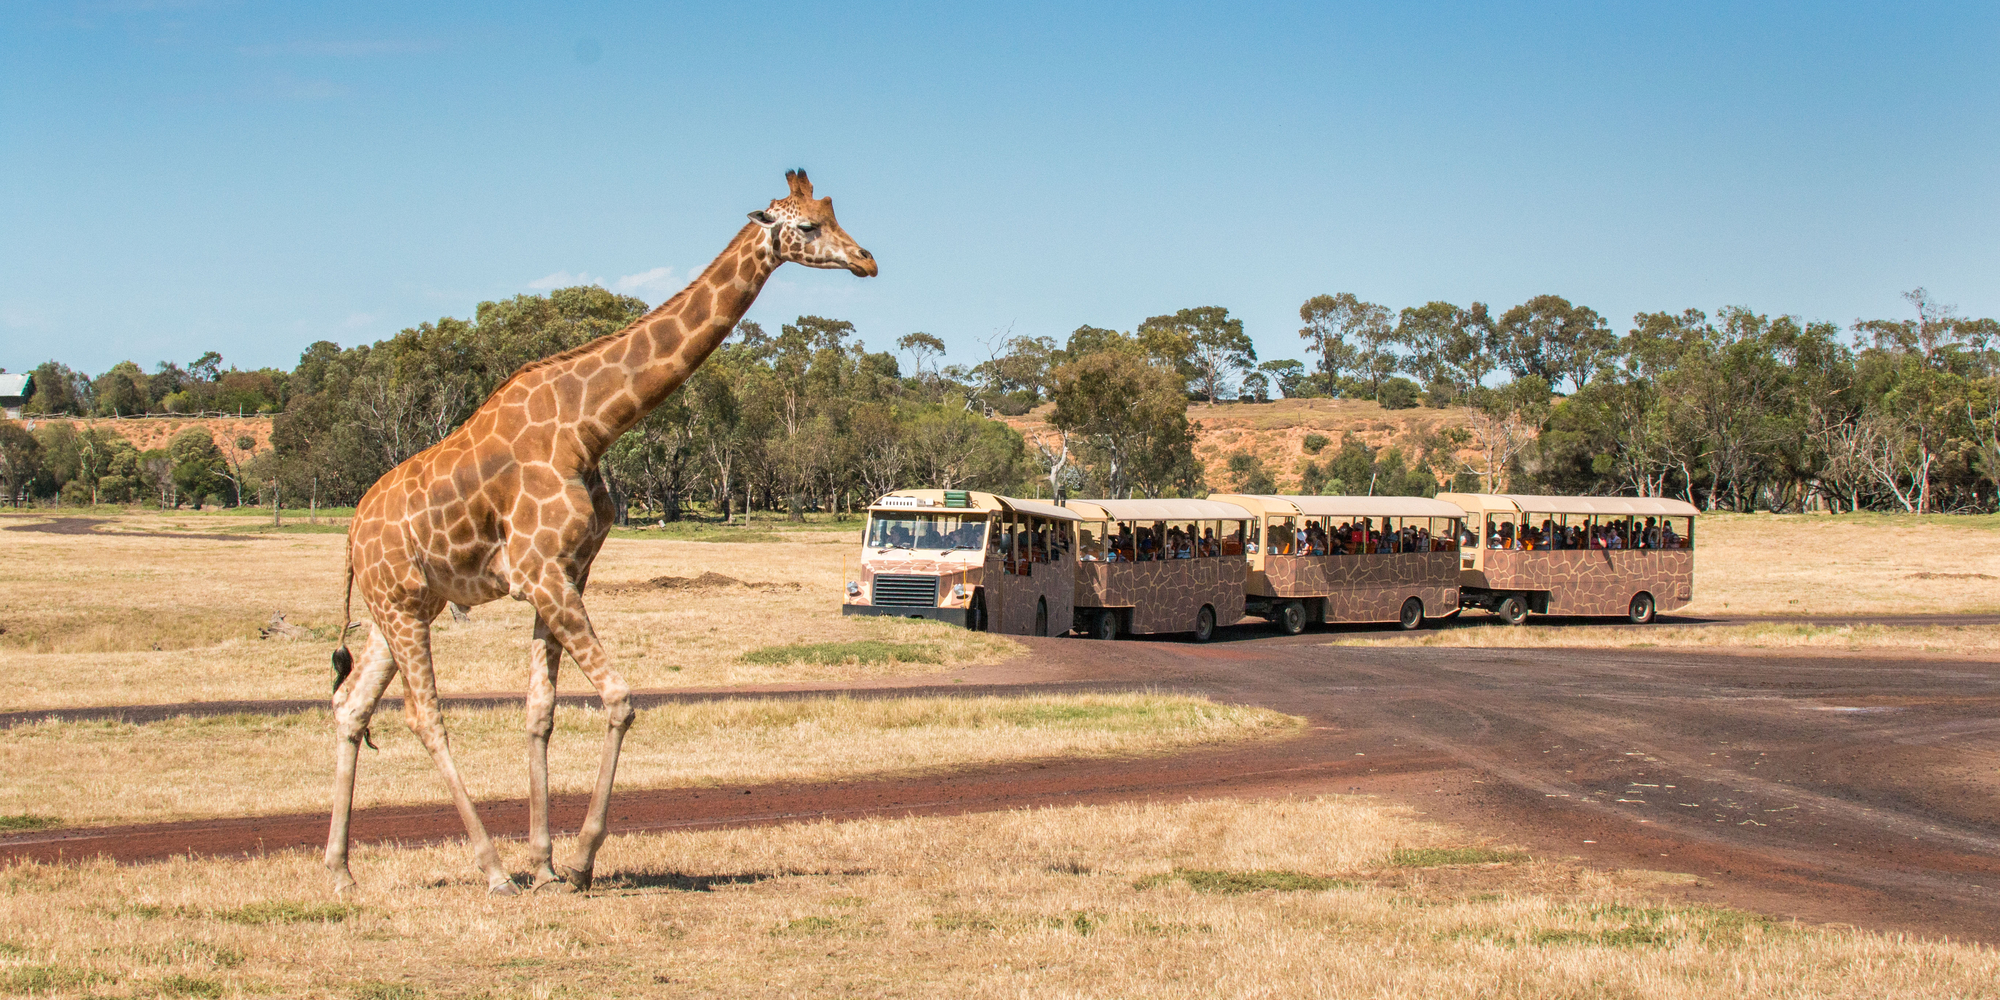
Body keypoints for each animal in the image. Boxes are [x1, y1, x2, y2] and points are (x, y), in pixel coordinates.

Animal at [325, 170, 876, 896]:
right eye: (808, 226)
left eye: (834, 212)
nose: (867, 260)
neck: (589, 426)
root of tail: (352, 536)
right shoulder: (541, 572)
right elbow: (618, 698)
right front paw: (580, 858)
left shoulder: (565, 573)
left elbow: (540, 713)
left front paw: (547, 864)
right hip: (400, 604)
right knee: (424, 717)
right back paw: (491, 870)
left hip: (409, 605)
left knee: (352, 706)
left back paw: (339, 870)